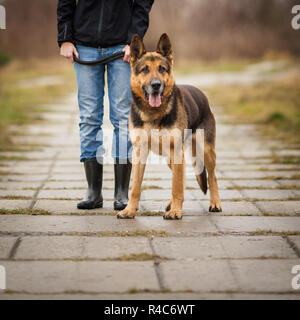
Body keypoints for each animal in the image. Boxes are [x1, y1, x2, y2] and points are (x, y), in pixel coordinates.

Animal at [117, 33, 223, 219]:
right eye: (144, 69)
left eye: (162, 69)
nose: (156, 85)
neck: (153, 113)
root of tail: (202, 95)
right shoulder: (139, 152)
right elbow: (135, 187)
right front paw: (129, 210)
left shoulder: (177, 152)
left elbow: (177, 186)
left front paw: (176, 211)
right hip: (170, 158)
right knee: (180, 176)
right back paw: (171, 203)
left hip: (205, 150)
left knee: (211, 176)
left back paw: (214, 203)